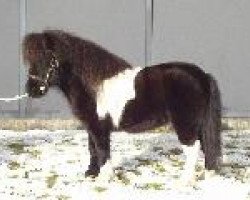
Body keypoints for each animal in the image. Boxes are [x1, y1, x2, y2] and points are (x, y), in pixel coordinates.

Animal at [22, 29, 222, 184]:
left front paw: (103, 178)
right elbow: (93, 149)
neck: (93, 85)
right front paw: (92, 174)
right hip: (199, 124)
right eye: (30, 60)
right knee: (206, 147)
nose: (32, 90)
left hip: (185, 124)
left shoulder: (98, 127)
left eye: (49, 57)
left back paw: (184, 181)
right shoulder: (91, 127)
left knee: (193, 149)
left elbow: (102, 150)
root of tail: (202, 75)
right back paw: (207, 176)